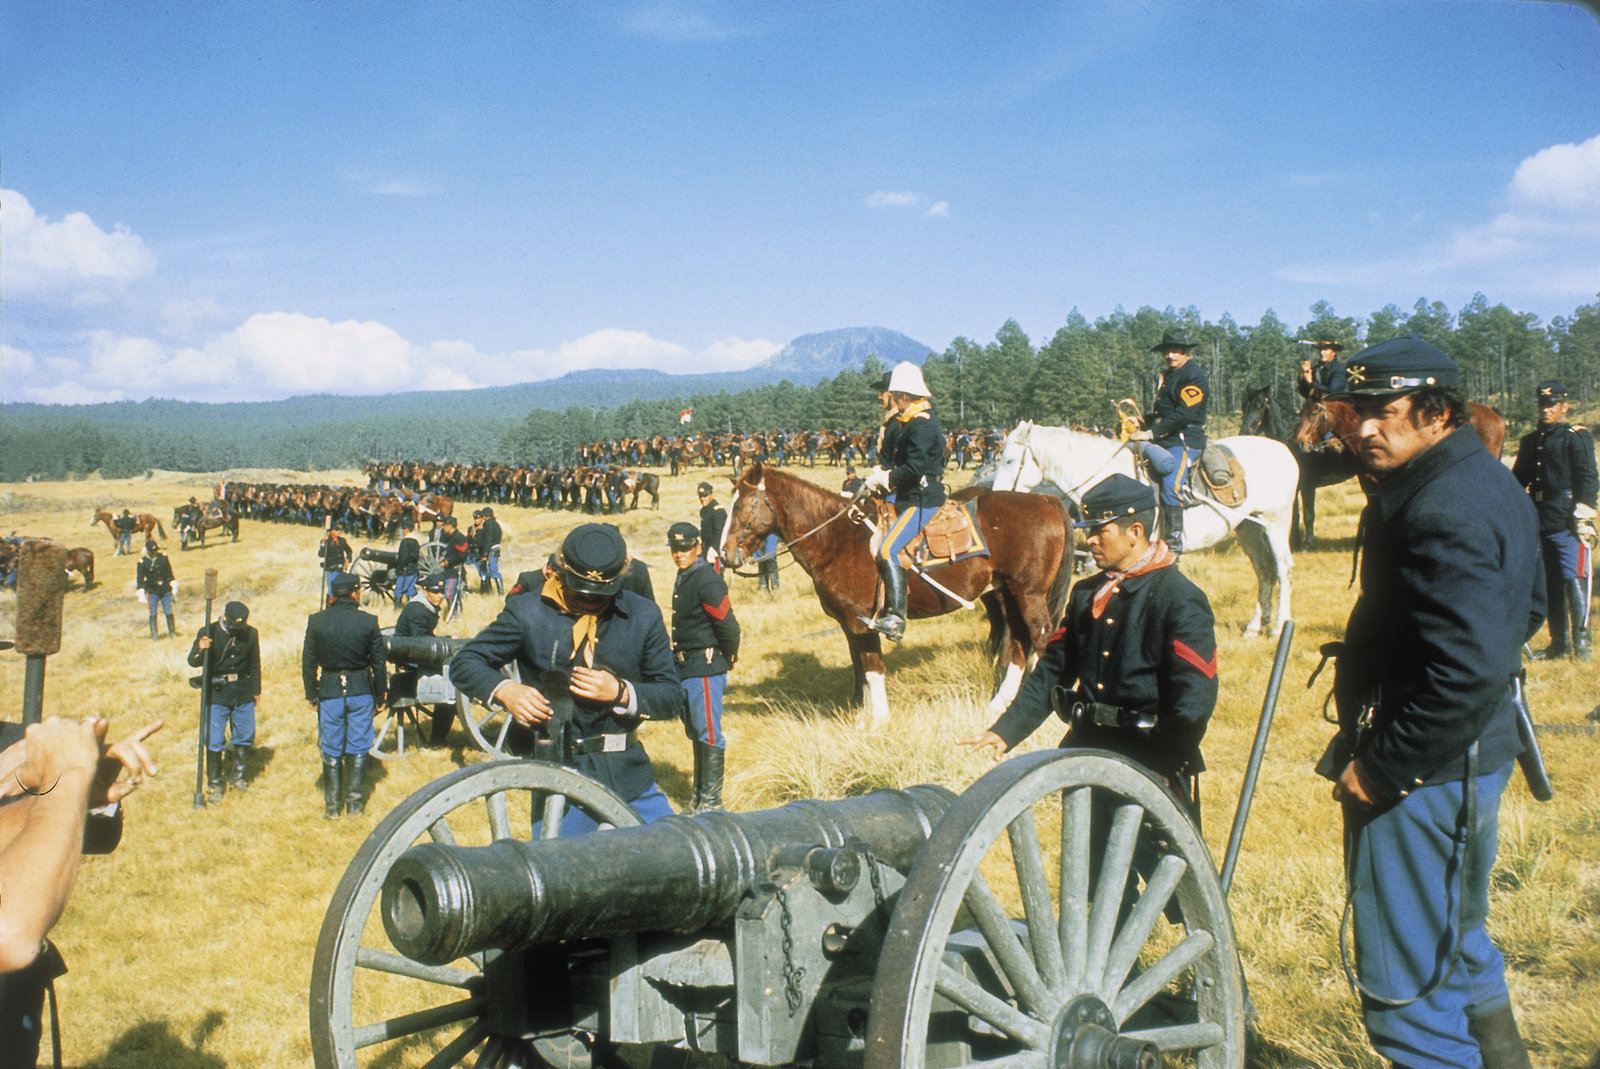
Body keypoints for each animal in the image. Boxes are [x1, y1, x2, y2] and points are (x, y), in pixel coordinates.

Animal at [726, 460, 1075, 726]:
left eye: (742, 505)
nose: (727, 555)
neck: (836, 539)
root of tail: (1048, 501)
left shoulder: (861, 622)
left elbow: (873, 668)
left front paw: (878, 720)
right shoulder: (849, 625)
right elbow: (859, 667)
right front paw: (861, 712)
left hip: (1029, 595)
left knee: (1041, 639)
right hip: (1008, 595)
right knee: (1018, 643)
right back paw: (999, 705)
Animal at [998, 416, 1299, 633]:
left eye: (1011, 460)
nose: (997, 495)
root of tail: (1285, 450)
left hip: (1276, 522)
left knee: (1283, 568)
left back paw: (1280, 625)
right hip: (1249, 528)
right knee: (1264, 570)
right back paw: (1256, 625)